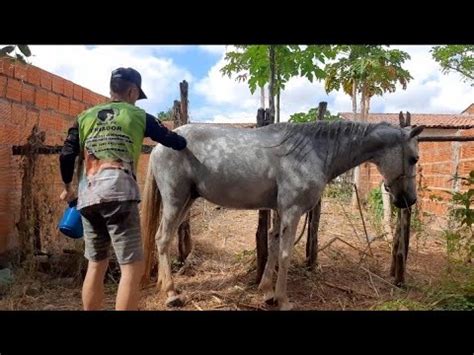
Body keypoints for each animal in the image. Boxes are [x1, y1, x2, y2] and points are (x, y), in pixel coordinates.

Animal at [142, 119, 426, 308]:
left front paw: (267, 291)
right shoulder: (292, 211)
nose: (409, 200)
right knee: (162, 239)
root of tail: (160, 145)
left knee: (162, 239)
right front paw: (283, 299)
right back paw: (171, 294)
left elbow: (273, 246)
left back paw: (164, 286)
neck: (313, 151)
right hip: (175, 201)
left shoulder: (280, 212)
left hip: (186, 202)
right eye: (413, 158)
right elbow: (286, 254)